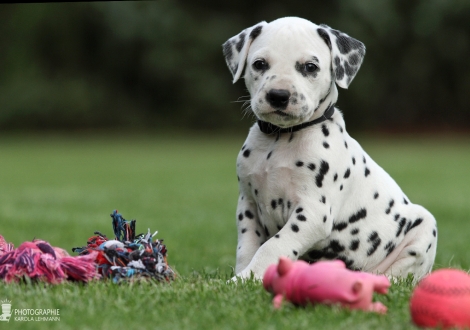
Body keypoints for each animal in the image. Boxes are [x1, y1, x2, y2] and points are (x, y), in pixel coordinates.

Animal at [224, 16, 436, 282]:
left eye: (310, 67)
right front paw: (242, 276)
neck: (280, 140)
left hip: (425, 228)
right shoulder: (249, 206)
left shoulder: (313, 212)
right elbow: (248, 248)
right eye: (259, 64)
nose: (278, 96)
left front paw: (245, 278)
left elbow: (274, 245)